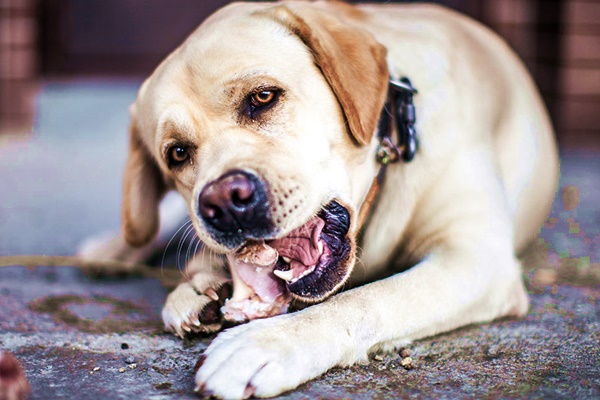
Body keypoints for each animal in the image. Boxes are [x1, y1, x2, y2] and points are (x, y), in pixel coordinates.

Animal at [108, 1, 564, 398]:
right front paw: (198, 286)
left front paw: (266, 345)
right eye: (177, 153)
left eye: (263, 98)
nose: (221, 202)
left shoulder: (475, 258)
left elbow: (367, 298)